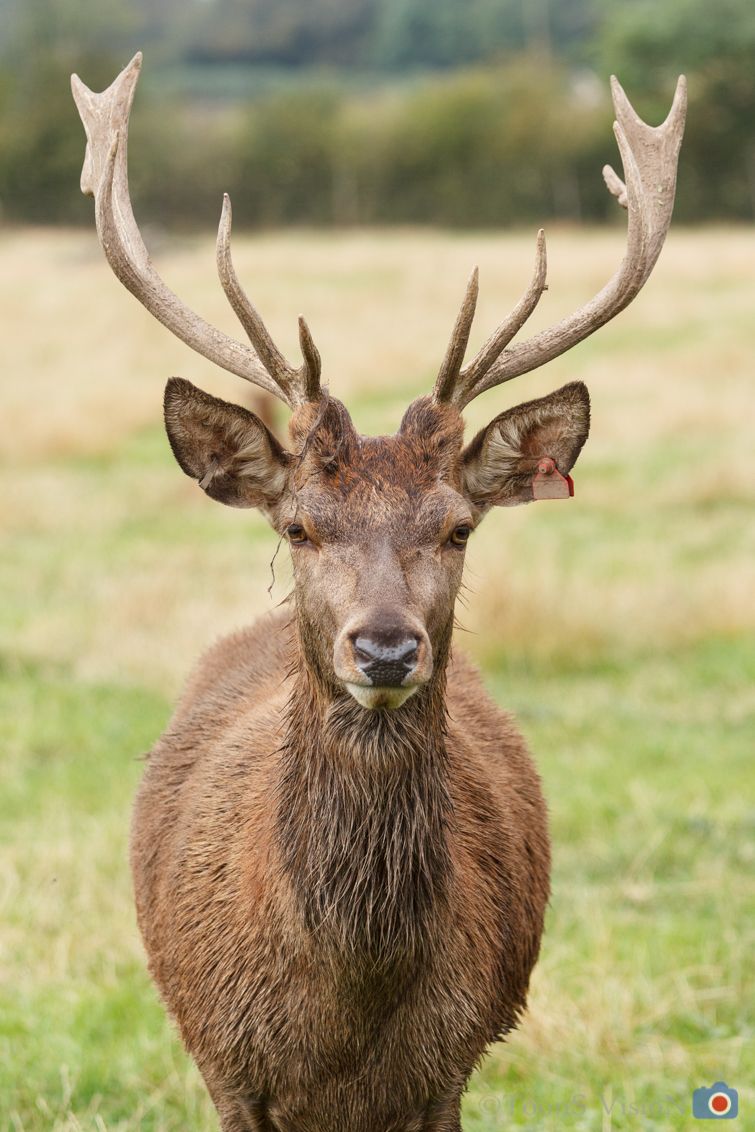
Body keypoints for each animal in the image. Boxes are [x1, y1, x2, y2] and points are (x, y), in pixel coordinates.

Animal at [72, 56, 685, 1132]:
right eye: (298, 527)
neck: (345, 1006)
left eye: (457, 527)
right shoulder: (224, 1060)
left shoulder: (449, 1062)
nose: (386, 647)